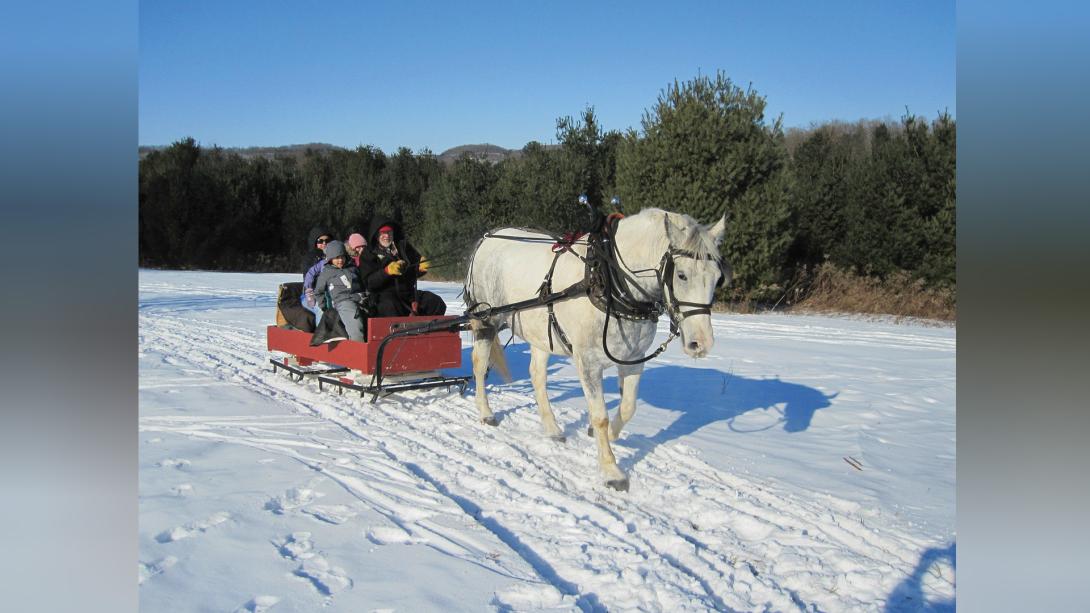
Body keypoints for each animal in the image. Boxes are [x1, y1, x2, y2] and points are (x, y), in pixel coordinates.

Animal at [462, 205, 728, 486]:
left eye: (717, 278)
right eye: (681, 275)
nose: (701, 343)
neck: (610, 283)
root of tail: (488, 237)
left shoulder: (634, 358)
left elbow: (628, 407)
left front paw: (609, 436)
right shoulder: (587, 362)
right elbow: (600, 416)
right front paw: (612, 470)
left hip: (541, 333)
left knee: (537, 376)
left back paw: (552, 428)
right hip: (486, 320)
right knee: (479, 365)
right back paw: (486, 412)